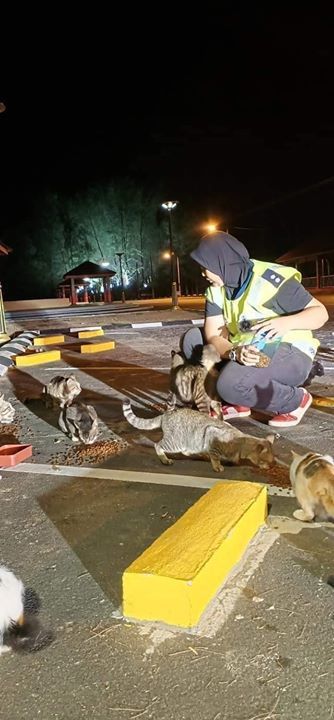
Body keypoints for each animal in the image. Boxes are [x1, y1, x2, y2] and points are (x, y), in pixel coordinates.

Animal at [122, 400, 274, 472]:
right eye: (265, 460)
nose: (270, 467)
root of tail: (166, 414)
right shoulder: (212, 434)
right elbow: (215, 455)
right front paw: (217, 465)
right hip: (176, 442)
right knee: (157, 445)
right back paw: (164, 459)